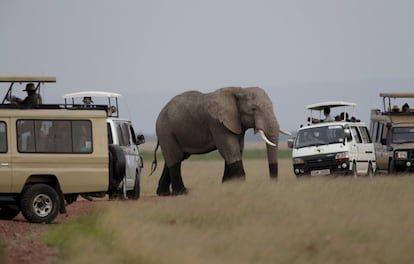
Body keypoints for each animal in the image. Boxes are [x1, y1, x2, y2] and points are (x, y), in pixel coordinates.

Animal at [150, 85, 290, 195]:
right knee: (175, 158)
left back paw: (163, 193)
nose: (272, 183)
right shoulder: (217, 123)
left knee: (178, 157)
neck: (239, 90)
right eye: (253, 109)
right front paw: (239, 186)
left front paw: (228, 185)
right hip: (165, 131)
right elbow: (230, 150)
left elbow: (238, 149)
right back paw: (182, 193)